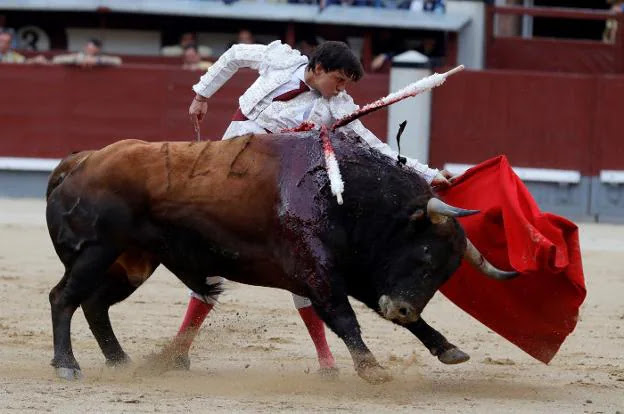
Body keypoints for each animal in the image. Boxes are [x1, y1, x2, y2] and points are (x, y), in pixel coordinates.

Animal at [42, 131, 512, 384]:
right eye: (424, 257)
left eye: (447, 274)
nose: (400, 308)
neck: (346, 195)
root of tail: (80, 161)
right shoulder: (319, 270)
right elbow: (342, 318)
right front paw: (372, 369)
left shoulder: (359, 272)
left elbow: (400, 320)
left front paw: (447, 348)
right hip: (96, 251)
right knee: (64, 298)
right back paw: (68, 365)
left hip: (132, 263)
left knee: (95, 304)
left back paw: (121, 361)